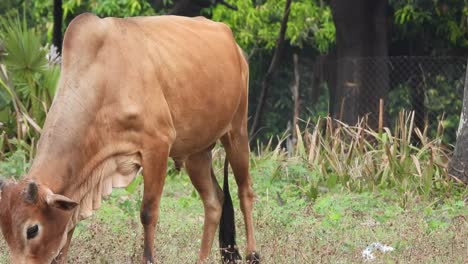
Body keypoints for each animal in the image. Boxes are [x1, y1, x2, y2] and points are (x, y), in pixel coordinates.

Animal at [0, 12, 260, 264]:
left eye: (32, 230)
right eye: (6, 233)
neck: (103, 81)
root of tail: (233, 42)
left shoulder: (157, 146)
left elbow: (148, 212)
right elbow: (69, 226)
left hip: (236, 132)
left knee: (244, 192)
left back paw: (253, 253)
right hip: (197, 152)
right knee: (214, 201)